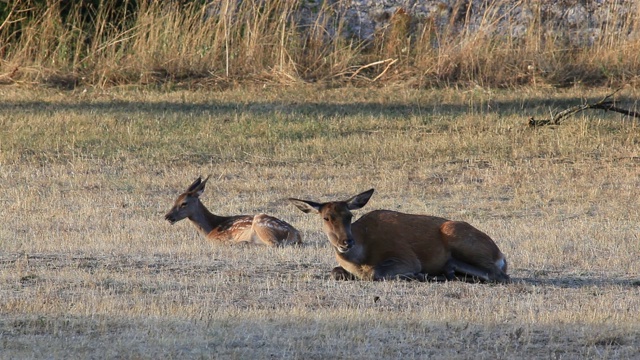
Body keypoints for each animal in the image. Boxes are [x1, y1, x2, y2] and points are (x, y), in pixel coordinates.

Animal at [168, 176, 302, 246]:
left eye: (184, 203)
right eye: (175, 200)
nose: (167, 216)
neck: (211, 228)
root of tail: (296, 235)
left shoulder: (218, 238)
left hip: (261, 223)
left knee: (273, 243)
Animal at [290, 190, 510, 282]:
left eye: (349, 216)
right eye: (326, 217)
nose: (346, 242)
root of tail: (501, 255)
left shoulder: (406, 256)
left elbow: (374, 273)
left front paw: (416, 274)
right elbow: (335, 271)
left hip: (459, 237)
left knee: (498, 275)